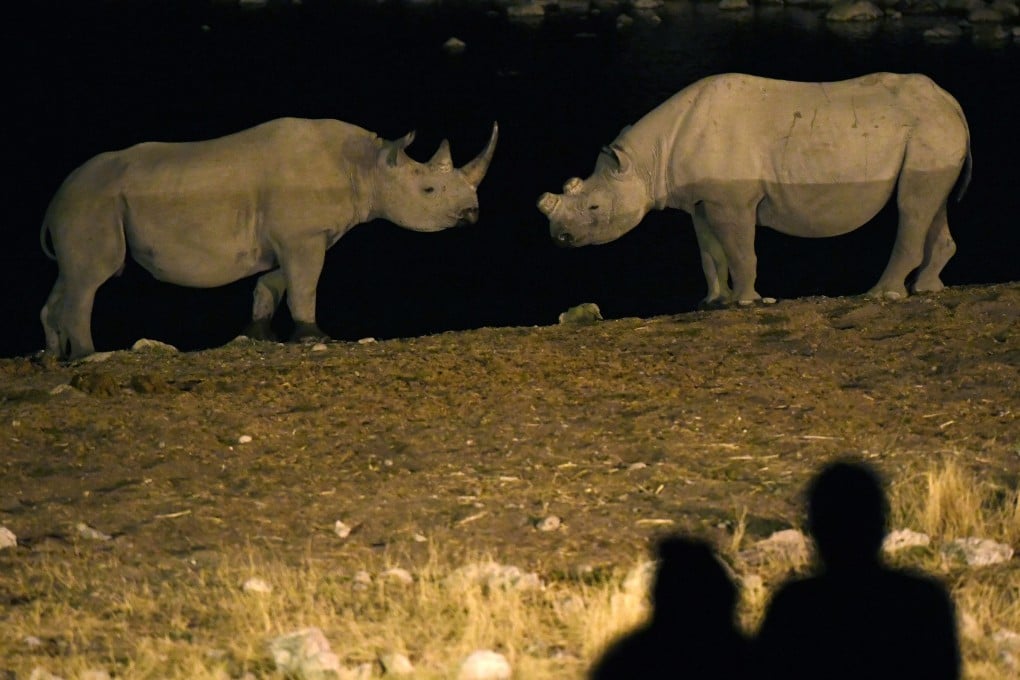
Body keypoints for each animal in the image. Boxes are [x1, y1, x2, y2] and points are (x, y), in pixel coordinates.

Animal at [40, 117, 498, 358]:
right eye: (429, 191)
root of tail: (55, 199)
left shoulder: (291, 239)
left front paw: (259, 335)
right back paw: (88, 356)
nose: (472, 214)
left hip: (79, 207)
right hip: (91, 203)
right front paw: (315, 337)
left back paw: (55, 357)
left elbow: (272, 285)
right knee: (91, 278)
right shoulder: (303, 237)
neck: (368, 167)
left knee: (70, 276)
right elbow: (305, 287)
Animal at [538, 73, 971, 307]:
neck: (648, 159)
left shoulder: (733, 199)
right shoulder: (702, 200)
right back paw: (925, 288)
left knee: (912, 205)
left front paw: (747, 301)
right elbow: (710, 254)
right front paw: (713, 301)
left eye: (594, 207)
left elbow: (741, 250)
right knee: (931, 204)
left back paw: (881, 294)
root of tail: (951, 101)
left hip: (927, 128)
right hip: (932, 131)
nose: (560, 238)